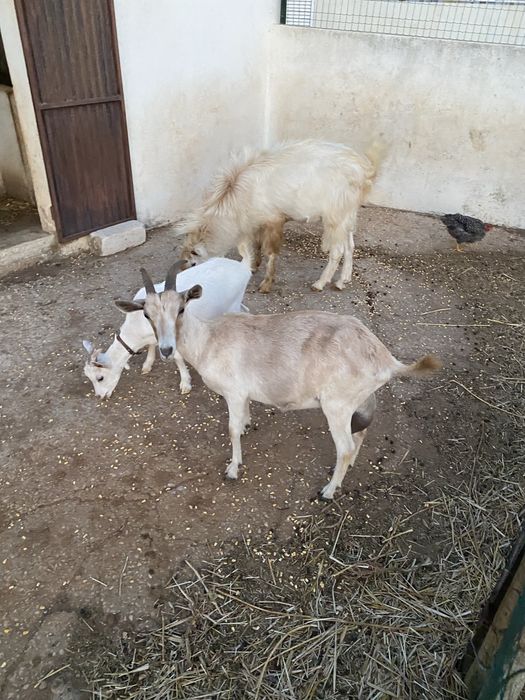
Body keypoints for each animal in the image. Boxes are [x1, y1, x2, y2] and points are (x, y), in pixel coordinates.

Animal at [121, 262, 441, 500]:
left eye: (181, 309)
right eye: (147, 314)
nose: (166, 349)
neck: (209, 340)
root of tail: (385, 358)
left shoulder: (233, 392)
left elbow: (231, 429)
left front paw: (233, 469)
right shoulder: (243, 394)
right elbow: (244, 418)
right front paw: (247, 426)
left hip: (336, 406)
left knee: (346, 446)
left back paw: (328, 490)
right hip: (358, 401)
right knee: (360, 433)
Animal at [178, 139, 383, 293]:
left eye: (193, 263)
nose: (183, 275)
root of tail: (364, 169)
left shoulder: (273, 219)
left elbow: (268, 251)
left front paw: (265, 284)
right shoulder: (255, 220)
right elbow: (253, 245)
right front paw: (253, 265)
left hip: (335, 215)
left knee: (338, 250)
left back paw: (320, 284)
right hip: (346, 214)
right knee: (349, 245)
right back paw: (343, 281)